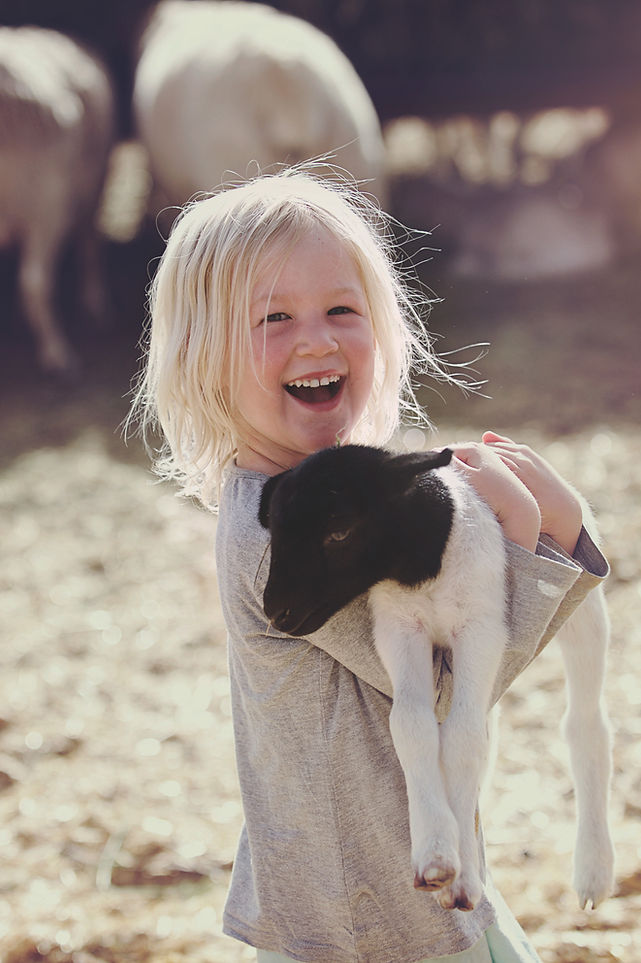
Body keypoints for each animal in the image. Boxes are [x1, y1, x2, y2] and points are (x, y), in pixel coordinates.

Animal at [259, 444, 614, 912]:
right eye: (273, 532)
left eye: (340, 532)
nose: (275, 611)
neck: (423, 569)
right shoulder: (398, 628)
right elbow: (412, 727)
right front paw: (438, 857)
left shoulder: (482, 629)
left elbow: (463, 738)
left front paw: (458, 878)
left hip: (584, 613)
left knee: (585, 724)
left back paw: (594, 871)